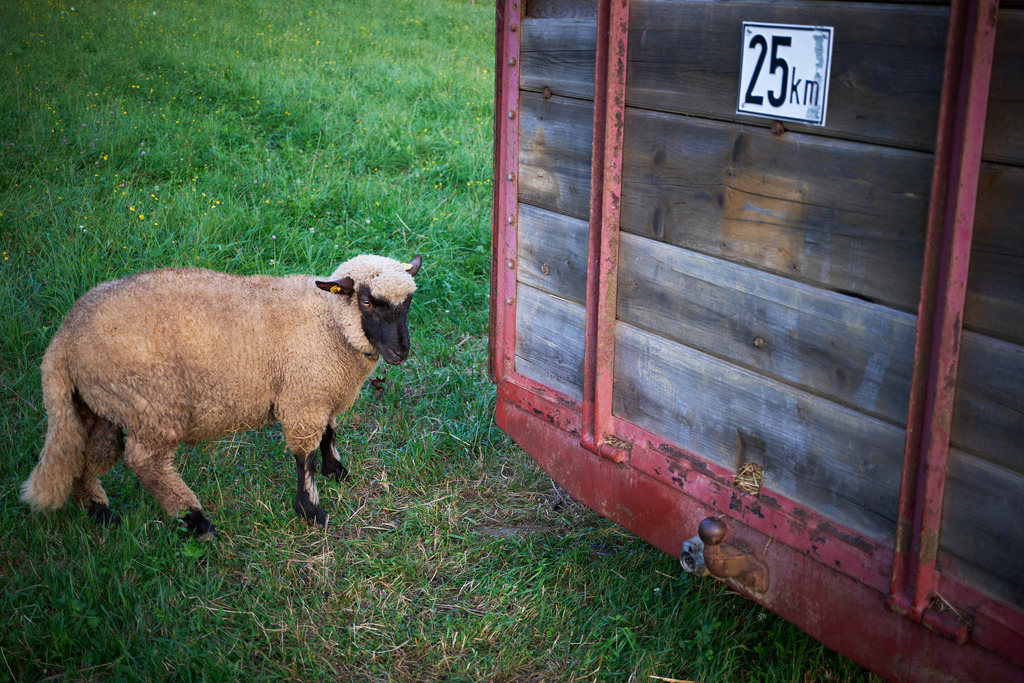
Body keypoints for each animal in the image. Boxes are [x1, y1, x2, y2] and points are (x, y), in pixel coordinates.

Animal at [21, 254, 422, 539]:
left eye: (409, 302)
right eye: (367, 302)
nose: (400, 352)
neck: (326, 322)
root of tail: (63, 340)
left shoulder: (321, 393)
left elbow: (330, 433)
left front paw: (335, 471)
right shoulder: (303, 398)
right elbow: (304, 457)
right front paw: (310, 511)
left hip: (100, 405)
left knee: (83, 455)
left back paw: (101, 513)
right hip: (151, 403)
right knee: (145, 462)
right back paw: (197, 522)